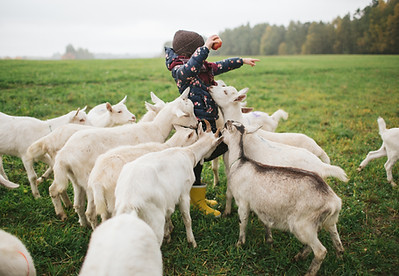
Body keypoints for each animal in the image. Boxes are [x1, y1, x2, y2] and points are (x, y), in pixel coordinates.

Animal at [50, 88, 198, 226]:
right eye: (186, 114)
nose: (196, 124)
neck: (155, 128)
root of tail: (64, 155)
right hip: (87, 179)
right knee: (91, 211)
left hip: (76, 178)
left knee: (73, 201)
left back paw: (81, 223)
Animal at [223, 121, 346, 276]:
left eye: (226, 128)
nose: (220, 129)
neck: (240, 163)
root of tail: (334, 201)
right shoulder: (262, 205)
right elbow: (265, 222)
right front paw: (269, 241)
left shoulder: (243, 202)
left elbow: (242, 222)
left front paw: (239, 244)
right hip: (326, 221)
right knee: (332, 234)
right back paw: (334, 256)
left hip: (302, 225)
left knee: (320, 251)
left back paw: (308, 271)